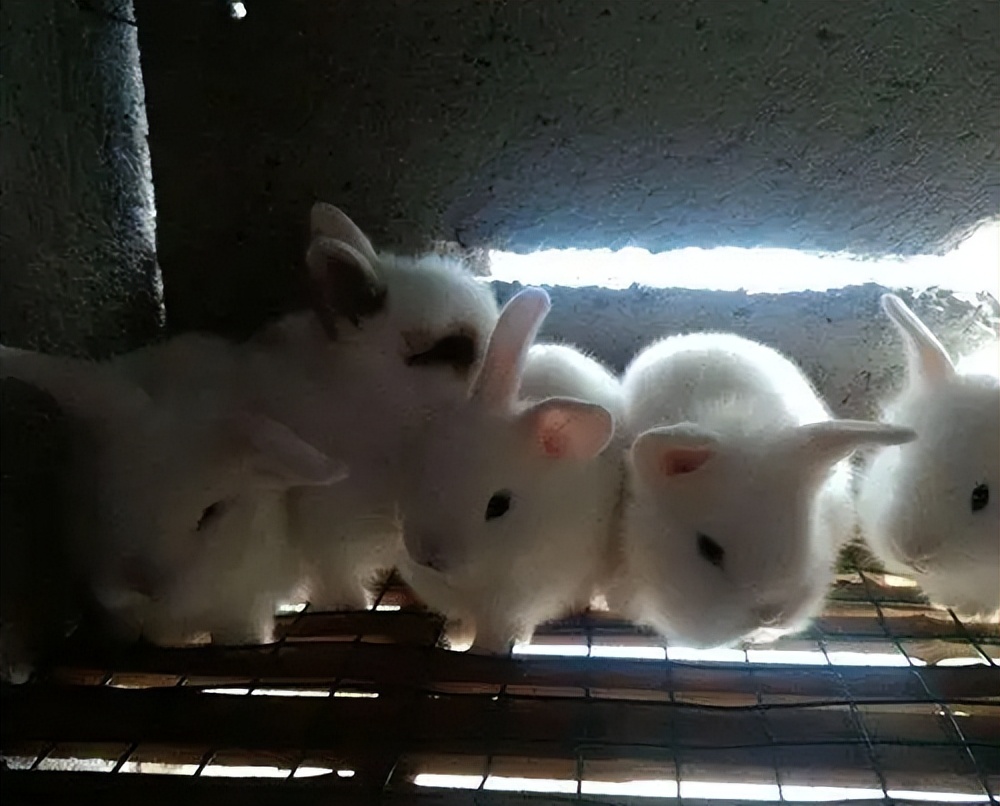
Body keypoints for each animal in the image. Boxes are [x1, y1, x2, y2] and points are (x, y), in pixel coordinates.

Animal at [396, 287, 625, 654]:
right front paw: (456, 637)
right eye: (425, 464)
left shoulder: (513, 605)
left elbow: (496, 636)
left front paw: (481, 649)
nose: (428, 554)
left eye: (499, 506)